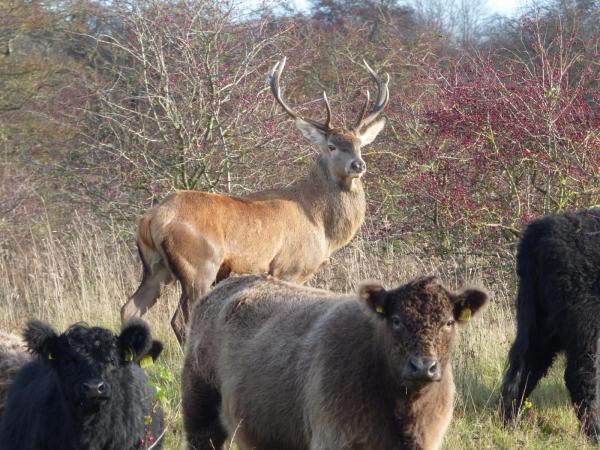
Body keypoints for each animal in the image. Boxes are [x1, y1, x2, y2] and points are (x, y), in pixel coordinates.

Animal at [122, 57, 390, 344]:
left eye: (359, 144)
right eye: (331, 146)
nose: (357, 165)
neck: (320, 225)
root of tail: (150, 219)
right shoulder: (289, 267)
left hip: (156, 267)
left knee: (130, 308)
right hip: (198, 265)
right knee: (181, 320)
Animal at [504, 210, 600, 440]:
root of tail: (539, 230)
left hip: (540, 323)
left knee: (526, 366)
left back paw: (510, 423)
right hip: (586, 320)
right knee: (581, 375)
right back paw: (595, 432)